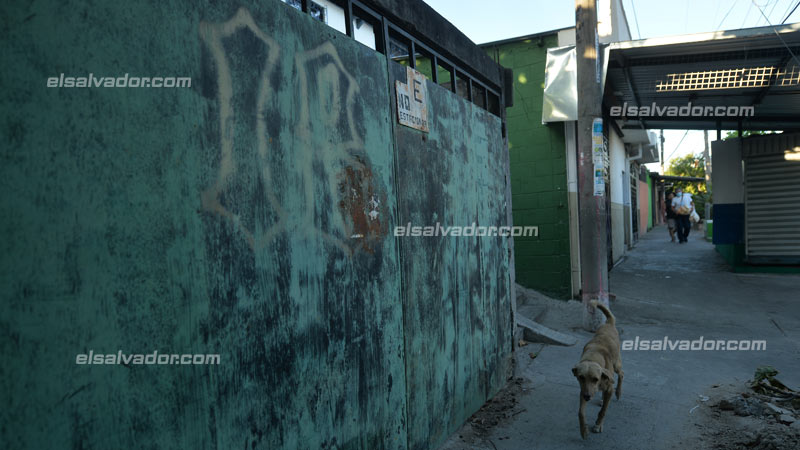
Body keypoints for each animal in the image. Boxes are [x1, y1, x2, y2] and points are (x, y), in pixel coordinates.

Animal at [572, 300, 623, 439]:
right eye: (581, 378)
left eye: (595, 379)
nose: (588, 397)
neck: (593, 357)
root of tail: (609, 323)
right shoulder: (583, 391)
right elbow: (580, 413)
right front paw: (583, 431)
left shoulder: (608, 388)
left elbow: (603, 410)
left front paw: (598, 425)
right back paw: (602, 398)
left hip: (617, 365)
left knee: (621, 374)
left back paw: (618, 392)